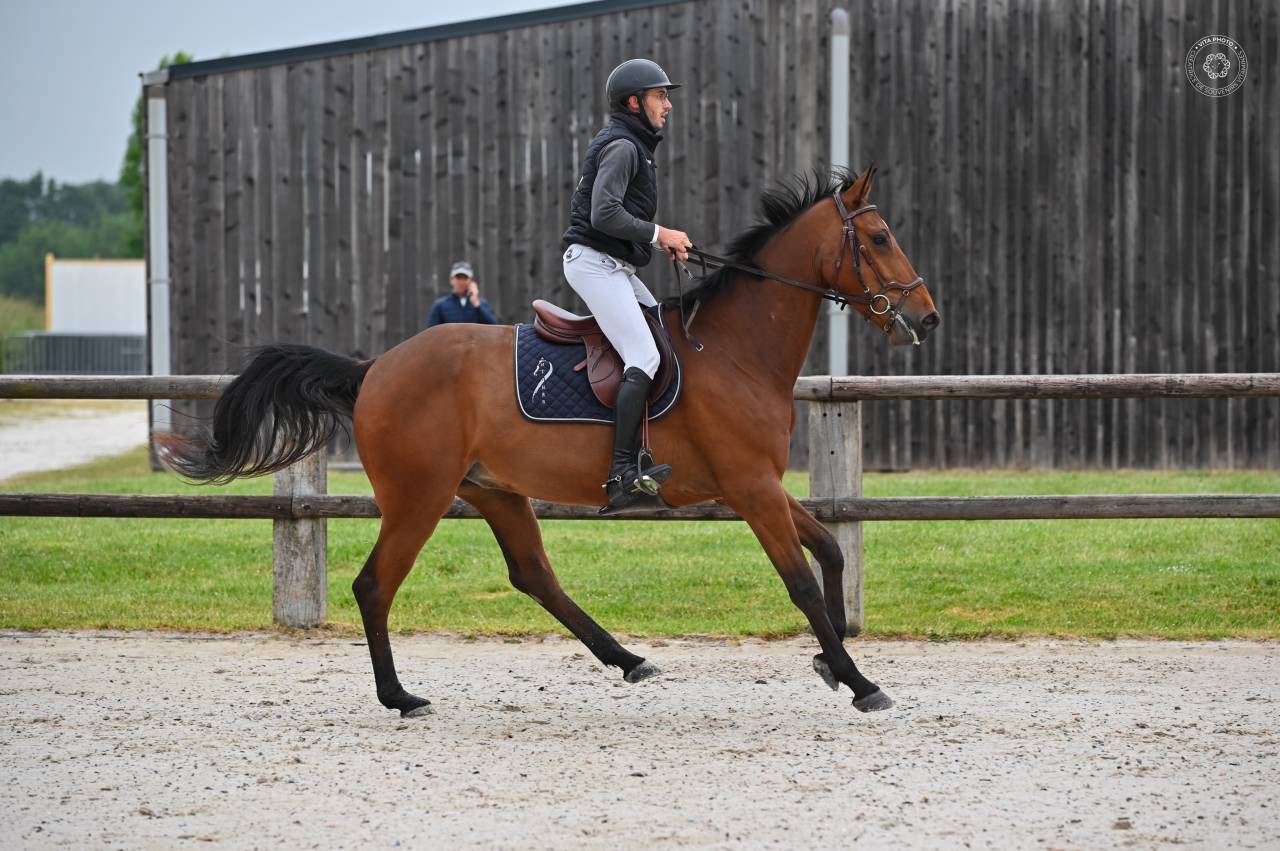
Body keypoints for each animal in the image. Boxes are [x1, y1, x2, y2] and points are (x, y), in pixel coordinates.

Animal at [159, 165, 940, 718]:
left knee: (535, 575)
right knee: (376, 584)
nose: (927, 317)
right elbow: (800, 578)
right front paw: (858, 679)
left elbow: (831, 547)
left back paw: (627, 658)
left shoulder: (763, 485)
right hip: (419, 497)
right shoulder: (750, 488)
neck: (736, 349)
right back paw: (400, 697)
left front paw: (833, 658)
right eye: (878, 239)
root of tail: (375, 367)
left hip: (495, 491)